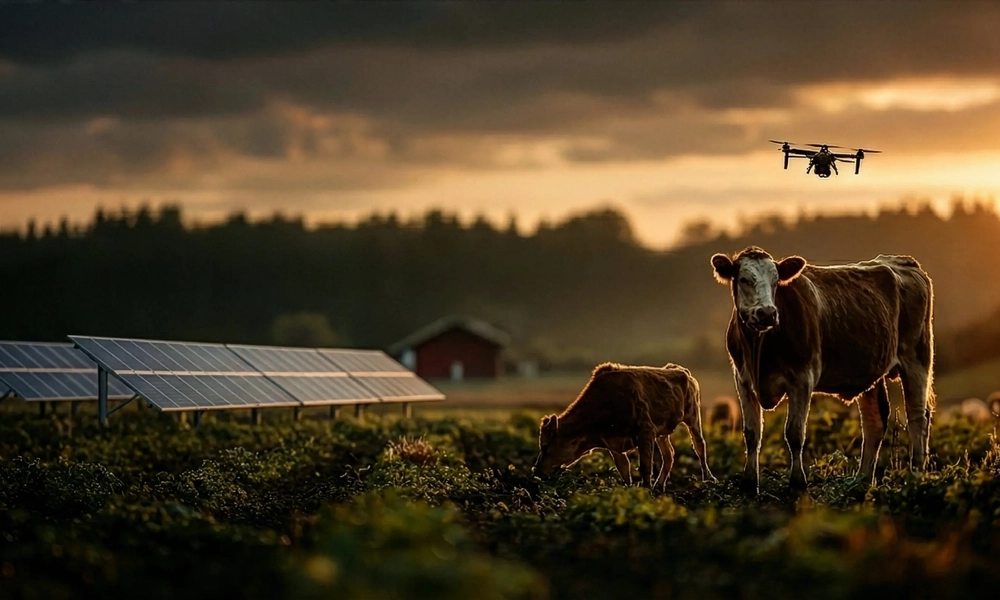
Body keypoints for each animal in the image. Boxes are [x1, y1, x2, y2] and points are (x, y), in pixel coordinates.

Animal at [532, 362, 716, 489]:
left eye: (545, 446)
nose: (537, 471)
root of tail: (681, 370)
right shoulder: (613, 444)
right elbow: (624, 469)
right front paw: (630, 490)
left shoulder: (646, 431)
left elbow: (645, 466)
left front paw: (646, 490)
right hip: (663, 433)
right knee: (669, 455)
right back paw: (659, 486)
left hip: (693, 417)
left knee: (699, 446)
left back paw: (709, 479)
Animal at [710, 246, 935, 494]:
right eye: (743, 279)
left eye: (776, 281)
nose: (767, 313)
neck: (760, 348)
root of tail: (903, 261)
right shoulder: (743, 379)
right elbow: (751, 433)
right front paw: (749, 484)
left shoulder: (803, 378)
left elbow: (794, 433)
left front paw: (798, 483)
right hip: (870, 369)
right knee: (874, 421)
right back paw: (861, 480)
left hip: (917, 358)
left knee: (917, 417)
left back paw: (916, 476)